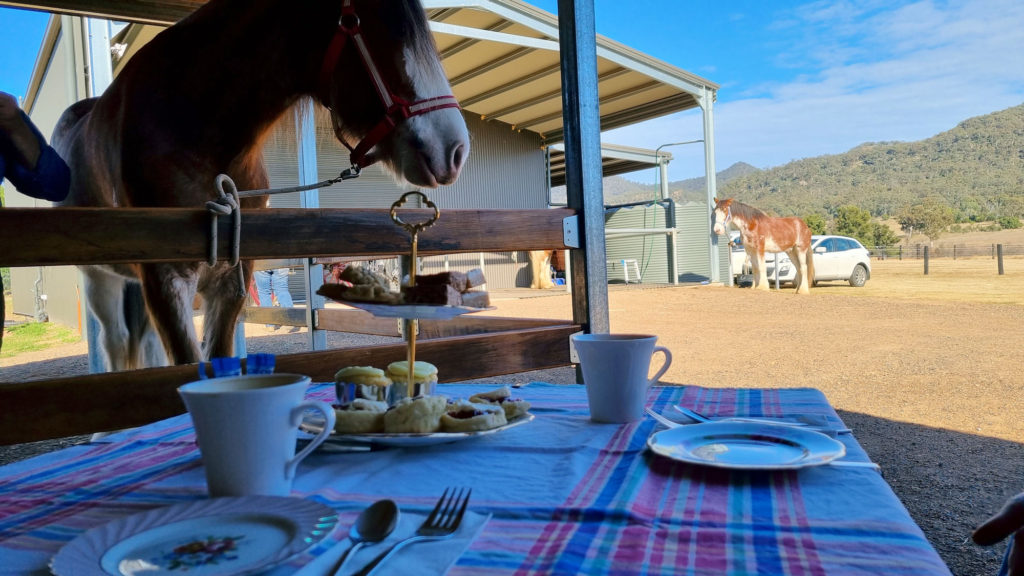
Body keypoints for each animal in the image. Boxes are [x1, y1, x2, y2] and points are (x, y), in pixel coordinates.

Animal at [54, 0, 468, 373]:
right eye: (365, 24)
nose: (455, 149)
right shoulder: (165, 280)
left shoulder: (230, 281)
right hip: (99, 278)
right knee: (117, 342)